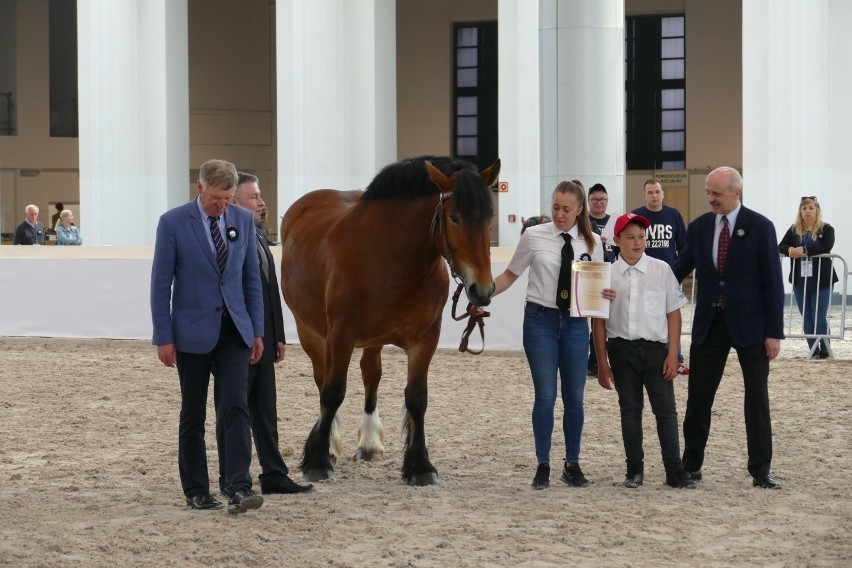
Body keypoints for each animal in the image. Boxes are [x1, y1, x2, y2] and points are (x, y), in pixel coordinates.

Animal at [280, 158, 500, 486]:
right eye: (455, 218)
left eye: (489, 217)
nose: (482, 290)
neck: (392, 257)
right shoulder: (340, 336)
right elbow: (333, 392)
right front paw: (317, 460)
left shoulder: (425, 340)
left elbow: (417, 398)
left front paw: (420, 466)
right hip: (311, 332)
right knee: (323, 380)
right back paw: (329, 443)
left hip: (373, 340)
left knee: (371, 374)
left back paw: (369, 442)